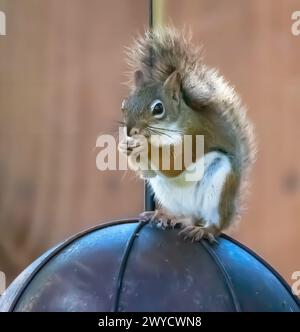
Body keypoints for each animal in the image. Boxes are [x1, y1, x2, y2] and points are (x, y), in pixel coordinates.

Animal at [117, 27, 255, 243]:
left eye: (158, 108)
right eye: (125, 104)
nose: (130, 130)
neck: (161, 135)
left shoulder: (195, 135)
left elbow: (174, 164)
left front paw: (144, 147)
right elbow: (147, 171)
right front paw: (126, 147)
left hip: (219, 186)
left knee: (215, 223)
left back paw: (205, 230)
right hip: (167, 194)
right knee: (189, 216)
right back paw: (168, 216)